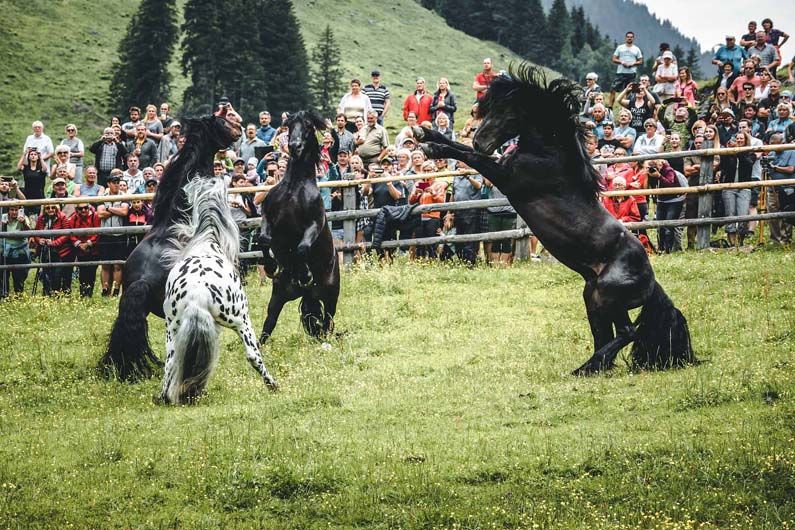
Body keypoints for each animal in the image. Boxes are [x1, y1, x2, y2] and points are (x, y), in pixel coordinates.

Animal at [160, 175, 278, 402]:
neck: (208, 241)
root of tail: (197, 292)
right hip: (241, 321)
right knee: (253, 355)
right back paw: (272, 384)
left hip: (173, 329)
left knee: (171, 363)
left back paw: (166, 396)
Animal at [258, 109, 338, 344]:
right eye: (290, 126)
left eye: (309, 126)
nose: (295, 146)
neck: (294, 189)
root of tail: (306, 293)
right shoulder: (267, 217)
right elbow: (263, 239)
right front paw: (270, 266)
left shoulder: (314, 224)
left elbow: (302, 248)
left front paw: (305, 275)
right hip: (278, 296)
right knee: (269, 323)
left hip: (331, 297)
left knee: (328, 323)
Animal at [420, 64, 692, 374]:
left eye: (506, 110)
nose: (480, 141)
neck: (550, 153)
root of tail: (651, 280)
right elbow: (462, 148)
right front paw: (426, 134)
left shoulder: (506, 176)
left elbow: (472, 158)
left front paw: (432, 148)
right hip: (593, 297)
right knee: (606, 334)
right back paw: (591, 368)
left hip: (607, 294)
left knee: (626, 332)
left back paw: (584, 368)